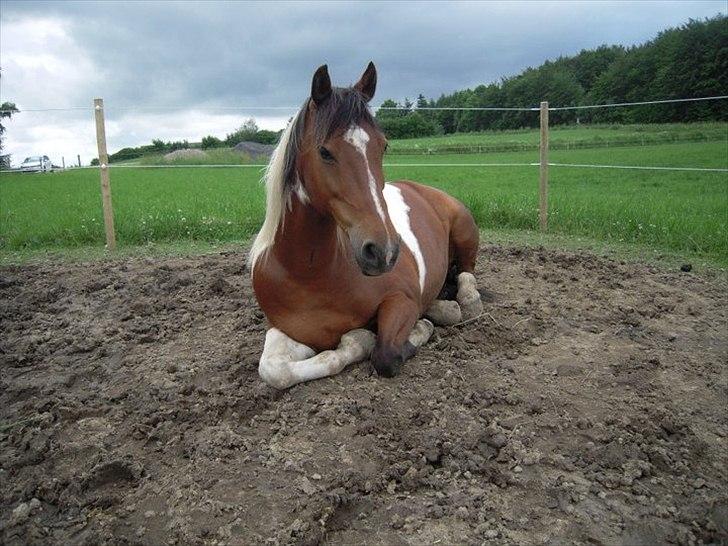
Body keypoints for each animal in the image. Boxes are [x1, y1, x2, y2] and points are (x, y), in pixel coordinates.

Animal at [250, 62, 484, 386]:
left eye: (383, 146)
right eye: (324, 151)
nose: (383, 252)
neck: (308, 273)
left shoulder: (401, 299)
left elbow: (385, 353)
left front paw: (412, 330)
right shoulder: (285, 330)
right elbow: (274, 370)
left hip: (464, 231)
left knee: (467, 273)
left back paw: (465, 301)